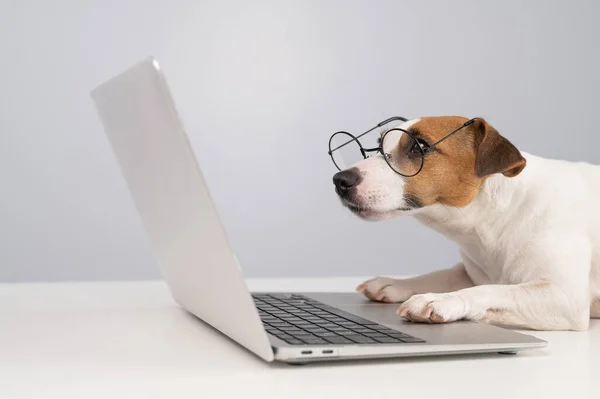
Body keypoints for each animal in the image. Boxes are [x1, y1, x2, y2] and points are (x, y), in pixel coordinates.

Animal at [332, 117, 600, 332]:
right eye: (379, 145)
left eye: (420, 146)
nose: (340, 180)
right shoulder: (471, 271)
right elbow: (444, 274)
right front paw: (396, 283)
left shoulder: (565, 297)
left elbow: (491, 290)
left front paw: (441, 300)